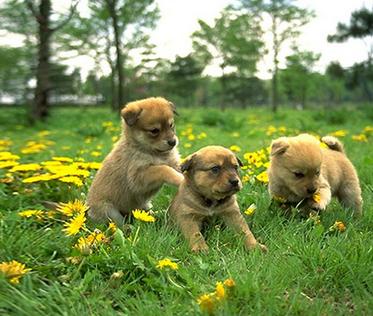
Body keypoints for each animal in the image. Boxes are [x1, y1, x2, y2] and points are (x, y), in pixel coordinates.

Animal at [85, 96, 182, 225]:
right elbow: (162, 169)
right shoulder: (137, 177)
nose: (173, 142)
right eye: (154, 130)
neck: (155, 153)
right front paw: (179, 179)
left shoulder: (174, 163)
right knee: (118, 222)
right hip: (109, 210)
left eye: (171, 125)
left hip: (144, 204)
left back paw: (157, 214)